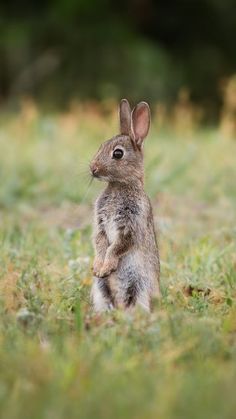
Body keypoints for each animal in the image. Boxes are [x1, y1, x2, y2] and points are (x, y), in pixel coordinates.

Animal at [90, 100, 160, 314]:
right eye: (101, 146)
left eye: (118, 153)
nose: (92, 168)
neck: (119, 185)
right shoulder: (101, 223)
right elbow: (100, 241)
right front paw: (98, 267)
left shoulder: (132, 224)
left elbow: (118, 246)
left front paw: (107, 267)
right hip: (100, 289)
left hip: (140, 285)